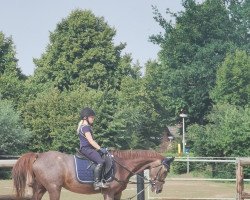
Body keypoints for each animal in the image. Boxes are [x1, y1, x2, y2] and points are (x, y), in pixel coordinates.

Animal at [12, 150, 174, 200]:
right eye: (165, 171)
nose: (159, 190)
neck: (122, 165)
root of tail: (39, 156)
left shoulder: (117, 194)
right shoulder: (109, 193)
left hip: (41, 188)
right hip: (53, 189)